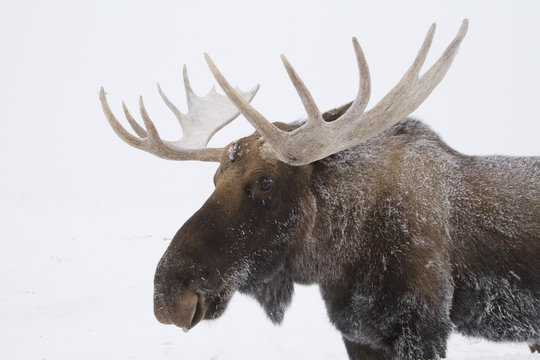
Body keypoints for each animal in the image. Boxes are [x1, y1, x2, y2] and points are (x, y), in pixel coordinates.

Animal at [100, 20, 540, 360]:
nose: (167, 295)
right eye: (214, 179)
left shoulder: (422, 327)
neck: (341, 260)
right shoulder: (358, 333)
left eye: (265, 182)